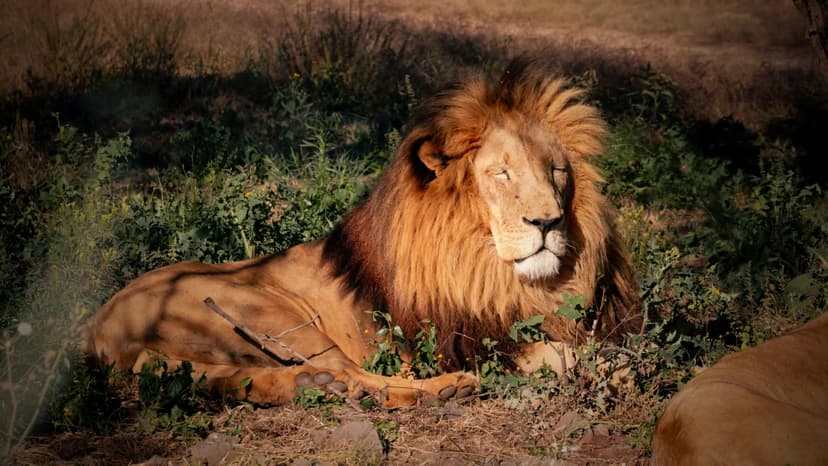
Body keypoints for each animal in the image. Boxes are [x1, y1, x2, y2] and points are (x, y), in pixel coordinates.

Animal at [88, 58, 642, 407]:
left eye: (557, 171)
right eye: (501, 174)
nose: (547, 222)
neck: (490, 266)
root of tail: (97, 324)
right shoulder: (464, 340)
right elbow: (564, 354)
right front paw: (617, 369)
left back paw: (306, 384)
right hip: (270, 314)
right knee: (361, 375)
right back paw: (444, 390)